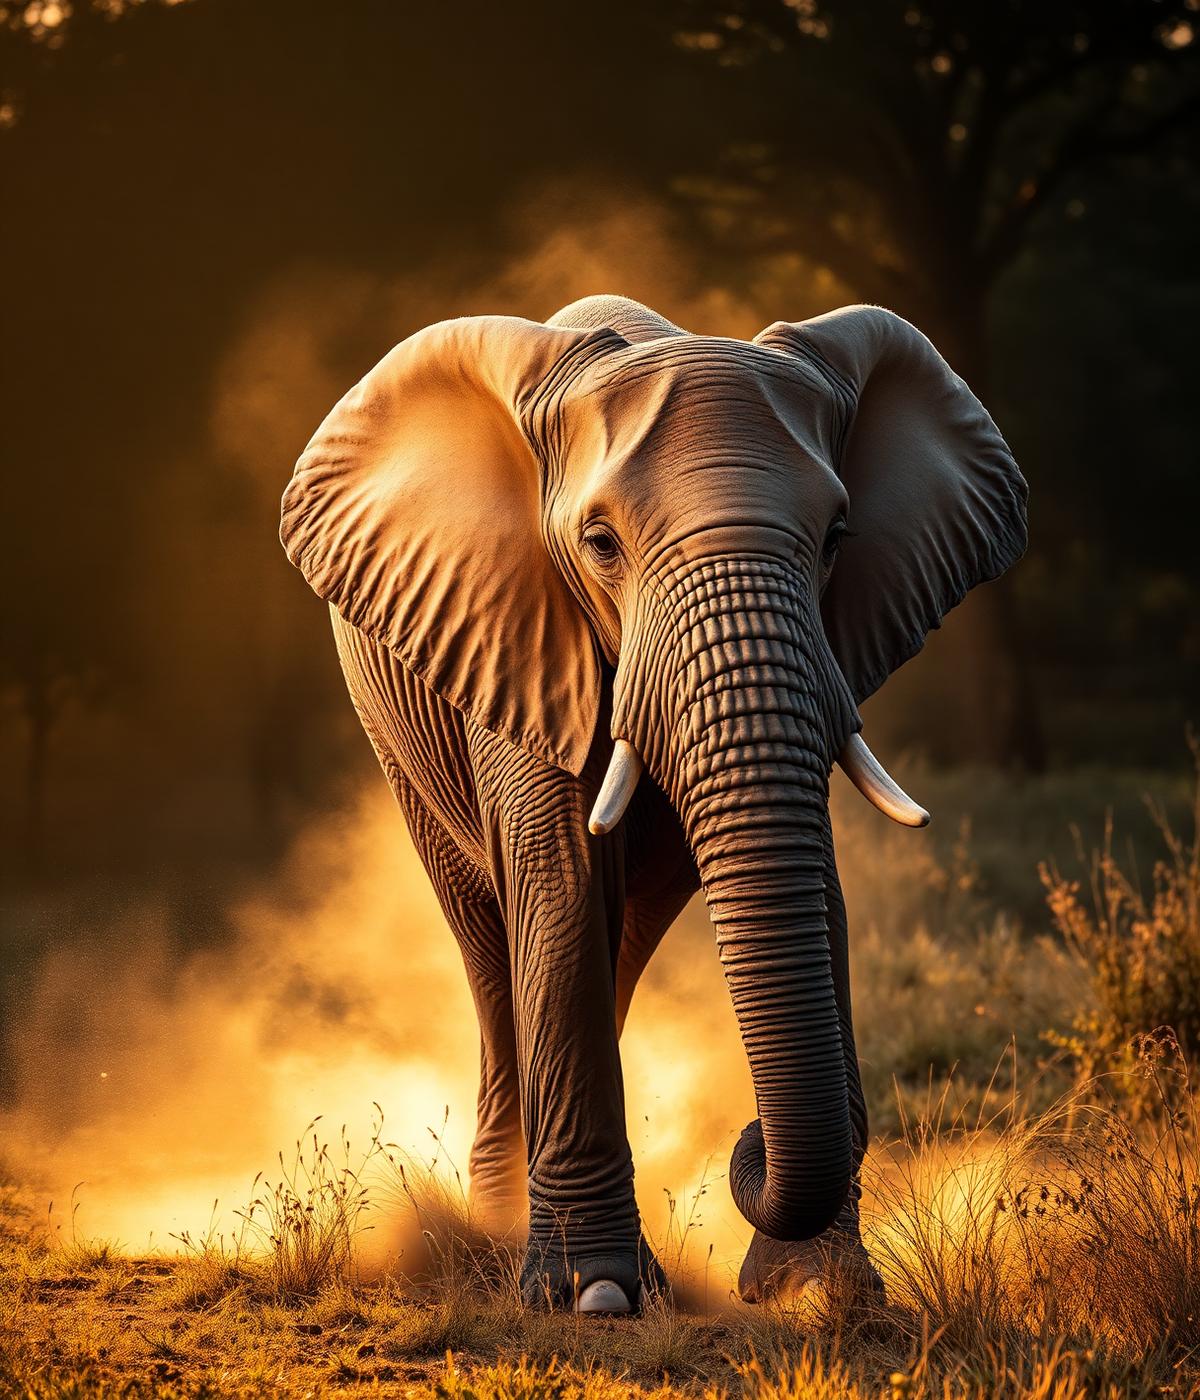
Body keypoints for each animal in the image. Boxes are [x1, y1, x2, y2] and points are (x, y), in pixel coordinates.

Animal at [280, 293, 1027, 1313]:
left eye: (838, 538)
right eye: (600, 544)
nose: (746, 1145)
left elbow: (818, 894)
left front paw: (823, 1294)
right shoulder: (520, 635)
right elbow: (556, 881)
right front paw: (596, 1296)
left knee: (619, 943)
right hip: (400, 743)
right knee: (493, 946)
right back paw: (496, 1226)